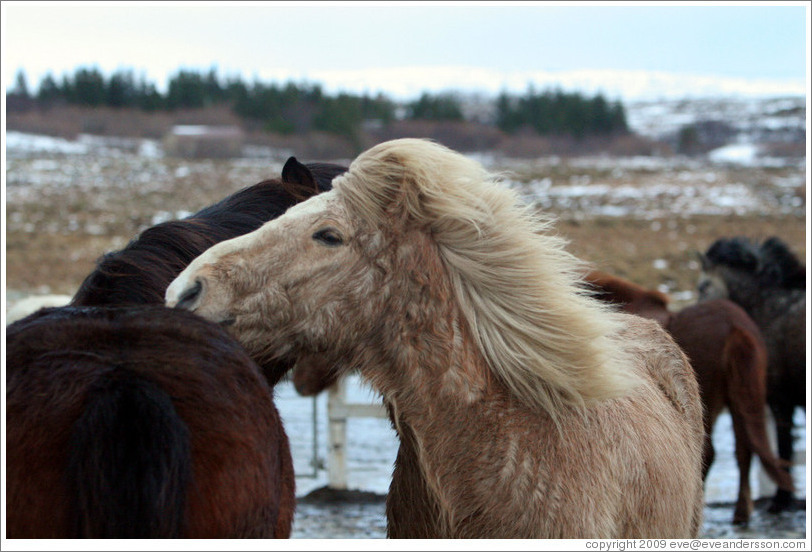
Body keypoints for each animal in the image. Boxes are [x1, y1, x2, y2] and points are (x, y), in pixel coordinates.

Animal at [584, 272, 792, 528]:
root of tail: (735, 327)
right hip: (742, 399)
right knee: (744, 451)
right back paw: (741, 514)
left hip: (711, 403)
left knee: (710, 453)